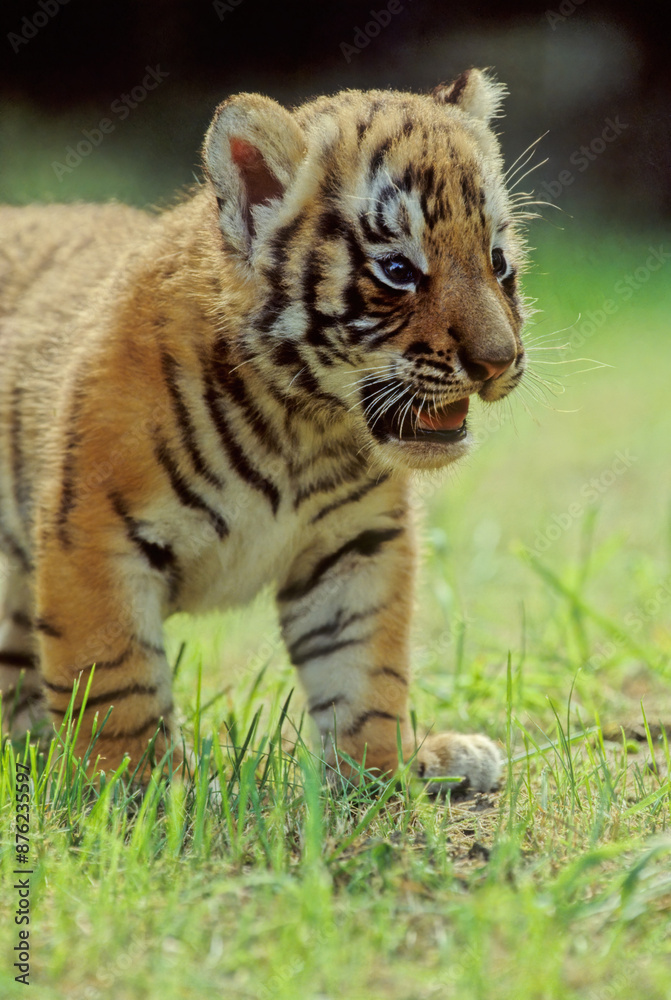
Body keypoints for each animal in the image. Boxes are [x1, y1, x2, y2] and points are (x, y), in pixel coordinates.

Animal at [0, 68, 528, 793]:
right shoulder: (95, 537)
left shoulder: (356, 543)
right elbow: (115, 683)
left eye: (497, 260)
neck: (302, 423)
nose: (498, 361)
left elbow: (365, 671)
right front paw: (137, 789)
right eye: (398, 270)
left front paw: (379, 776)